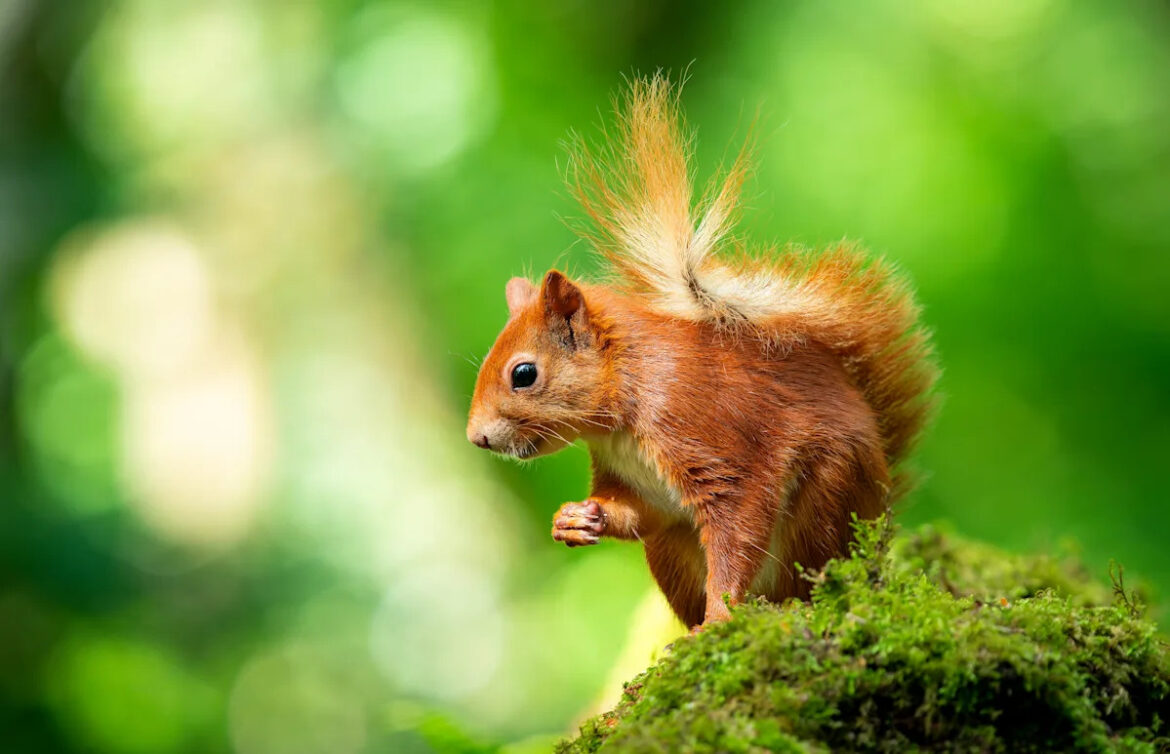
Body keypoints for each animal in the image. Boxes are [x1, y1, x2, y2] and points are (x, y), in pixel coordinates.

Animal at [466, 75, 938, 629]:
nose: (476, 438)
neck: (624, 408)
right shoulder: (640, 485)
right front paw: (575, 520)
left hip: (828, 495)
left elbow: (738, 526)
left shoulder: (707, 433)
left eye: (523, 374)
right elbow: (636, 512)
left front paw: (717, 621)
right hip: (670, 549)